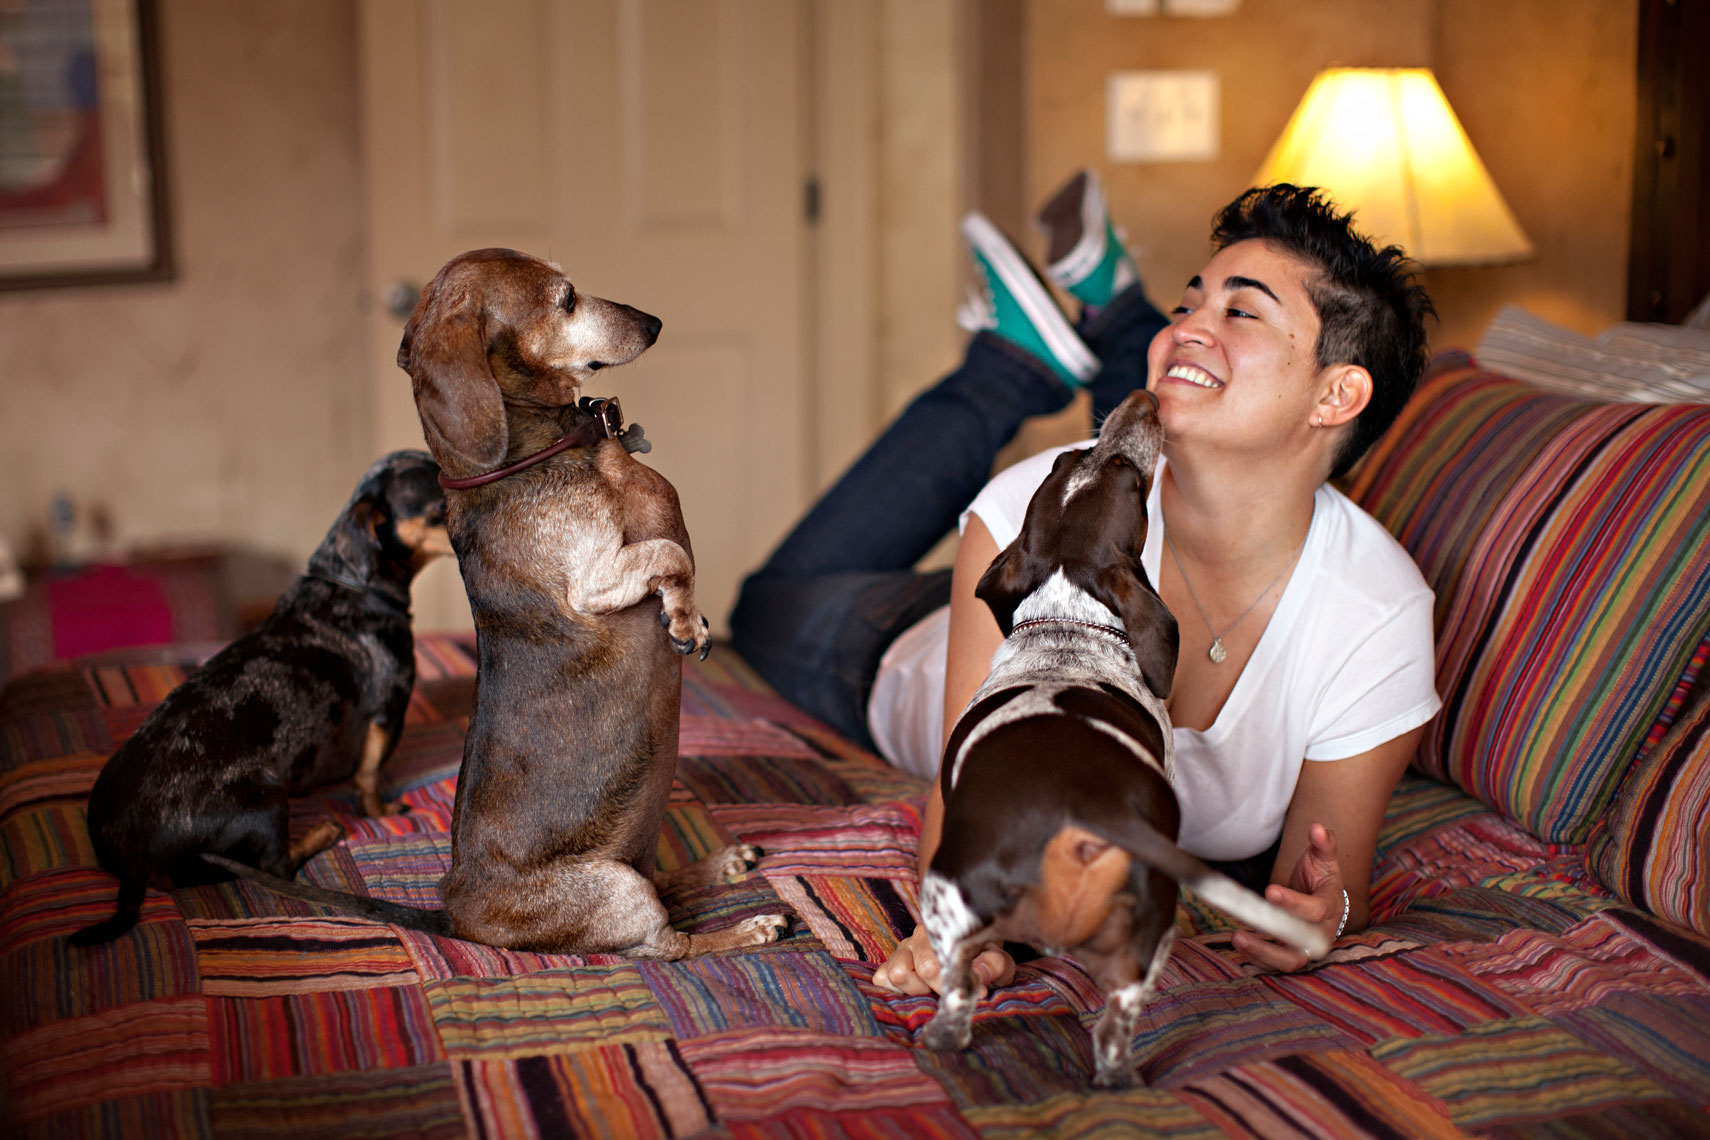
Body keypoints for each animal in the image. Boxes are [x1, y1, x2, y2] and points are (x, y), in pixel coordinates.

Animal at [71, 450, 452, 946]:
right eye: (442, 501)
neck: (349, 584)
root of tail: (132, 857)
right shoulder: (389, 713)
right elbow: (369, 778)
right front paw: (384, 809)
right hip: (269, 799)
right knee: (276, 867)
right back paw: (324, 831)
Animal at [917, 390, 1330, 1087]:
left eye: (1070, 457)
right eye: (1131, 480)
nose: (1146, 398)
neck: (1066, 624)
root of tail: (1083, 805)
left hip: (953, 903)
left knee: (967, 994)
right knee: (1107, 1028)